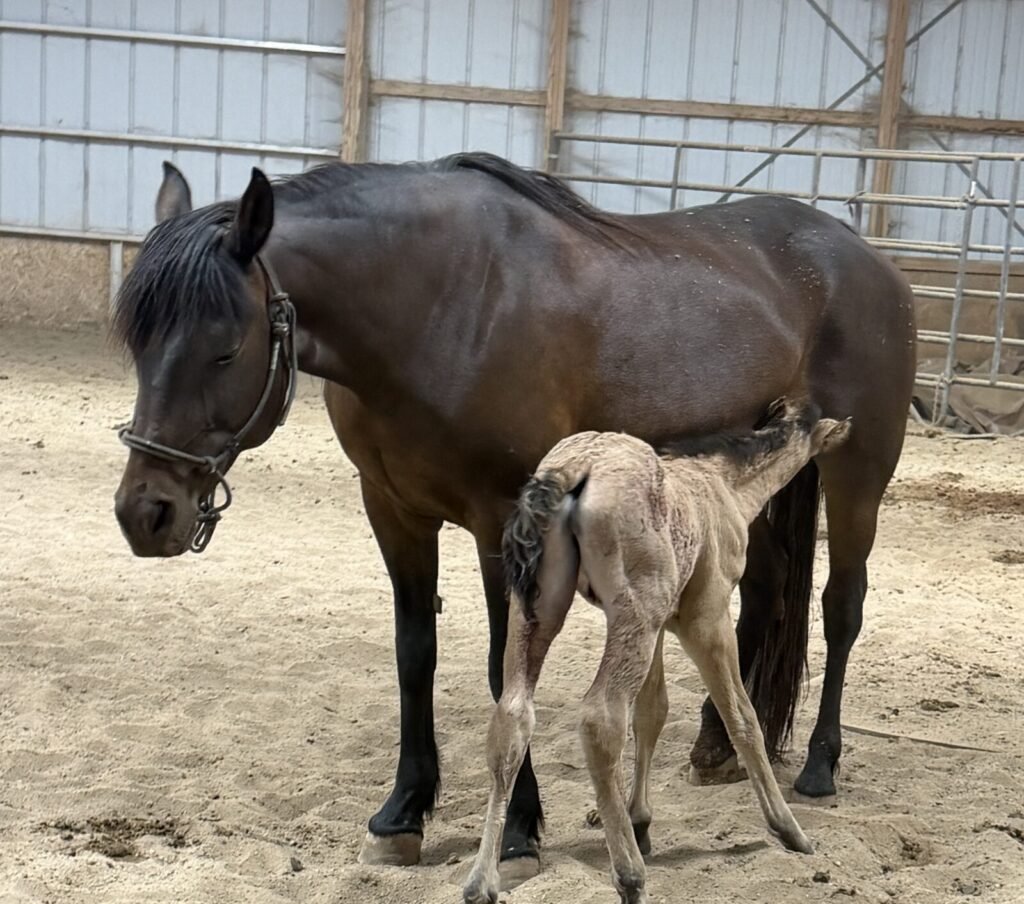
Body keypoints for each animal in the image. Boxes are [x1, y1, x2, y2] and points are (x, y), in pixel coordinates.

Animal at [464, 399, 851, 904]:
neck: (722, 484)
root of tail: (572, 470)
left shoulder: (661, 625)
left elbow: (653, 712)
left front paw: (640, 821)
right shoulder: (705, 618)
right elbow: (741, 716)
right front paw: (790, 830)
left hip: (545, 612)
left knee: (513, 716)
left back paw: (481, 882)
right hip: (635, 615)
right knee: (600, 718)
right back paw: (630, 876)